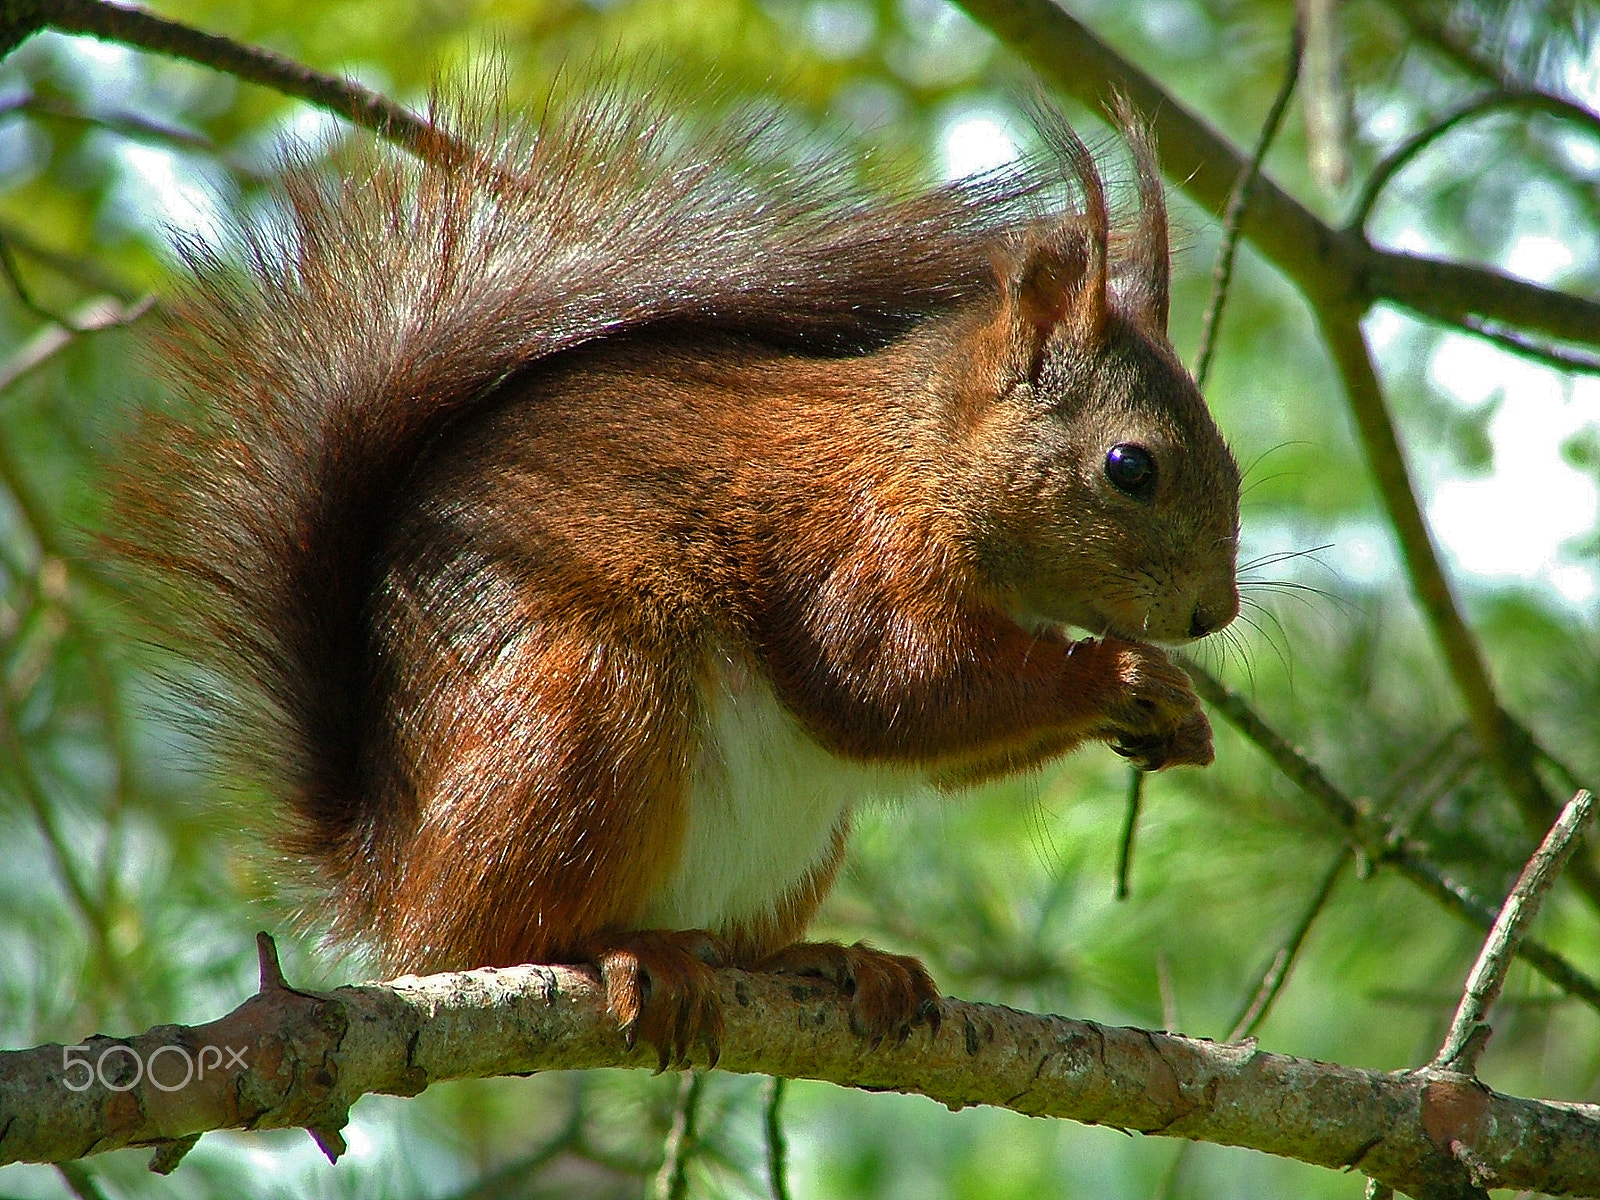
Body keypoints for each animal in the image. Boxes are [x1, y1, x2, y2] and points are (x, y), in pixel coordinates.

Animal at [116, 82, 1235, 1068]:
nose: (1211, 613)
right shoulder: (849, 543)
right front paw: (1117, 675)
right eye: (1130, 467)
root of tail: (393, 881)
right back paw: (619, 949)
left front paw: (1176, 711)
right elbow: (892, 686)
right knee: (501, 934)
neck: (923, 459)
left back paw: (825, 960)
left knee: (737, 939)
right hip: (584, 712)